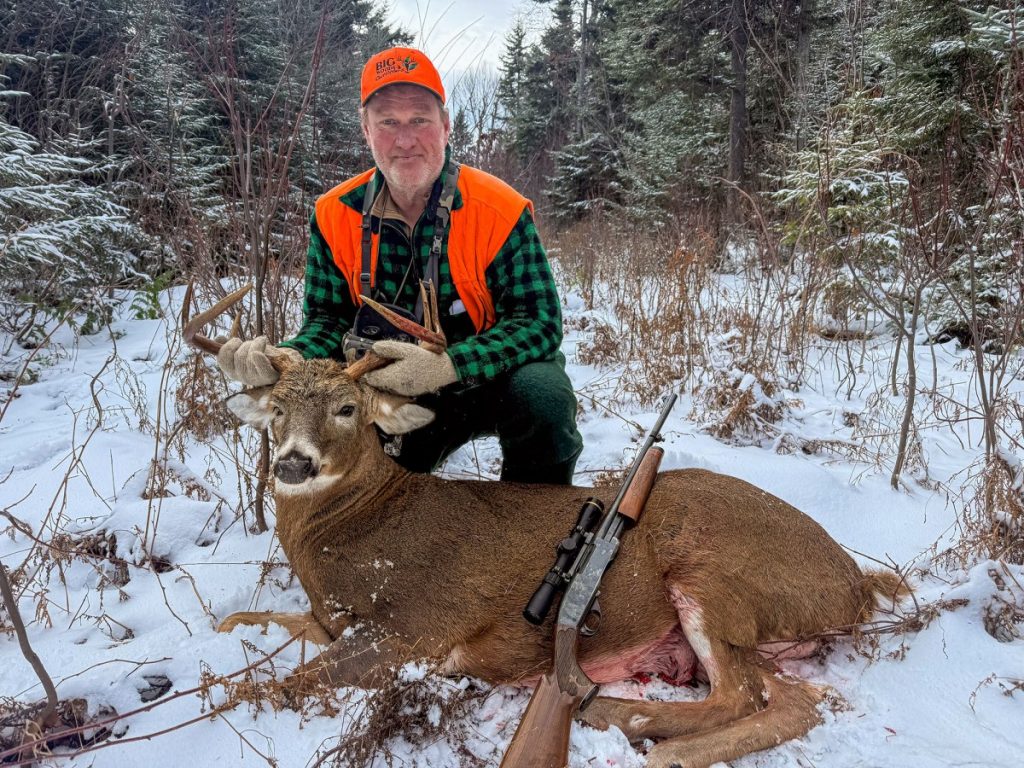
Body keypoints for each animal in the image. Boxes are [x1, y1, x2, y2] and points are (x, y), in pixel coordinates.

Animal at [184, 284, 904, 768]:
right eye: (276, 408)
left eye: (346, 407)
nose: (293, 464)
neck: (350, 530)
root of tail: (856, 582)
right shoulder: (331, 617)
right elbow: (238, 623)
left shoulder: (414, 625)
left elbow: (278, 684)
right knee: (793, 700)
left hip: (715, 580)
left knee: (741, 695)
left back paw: (633, 722)